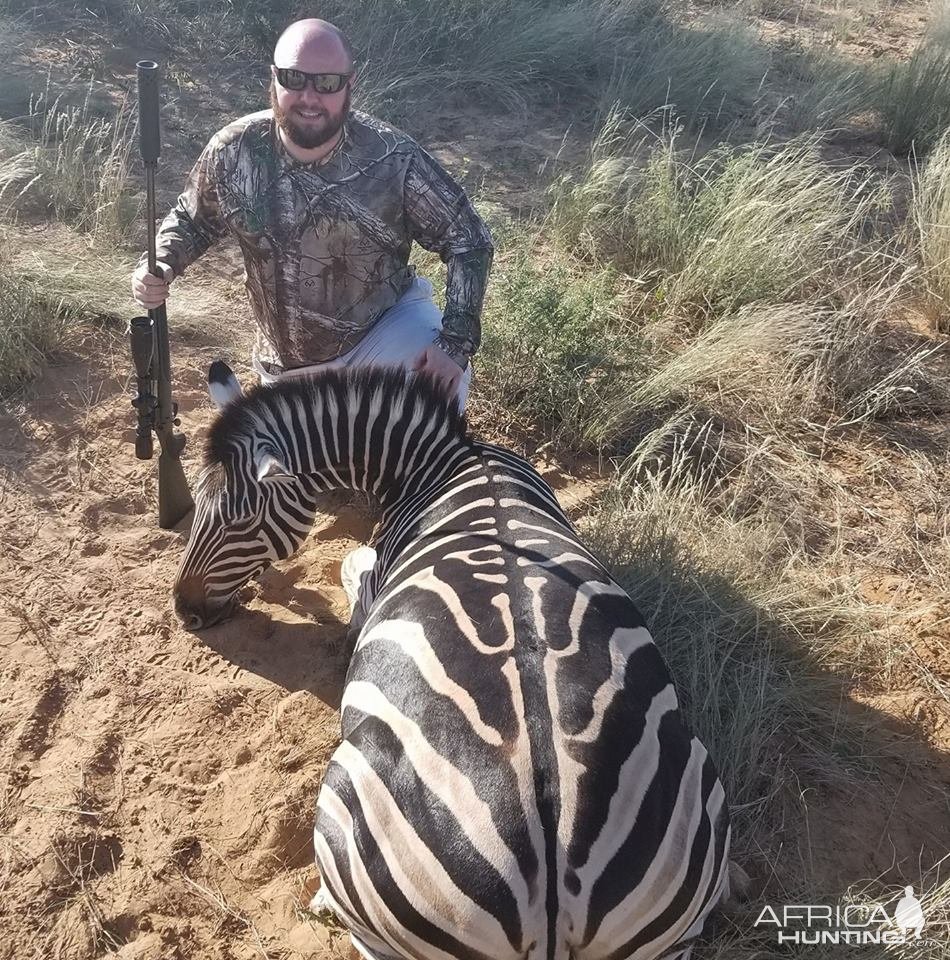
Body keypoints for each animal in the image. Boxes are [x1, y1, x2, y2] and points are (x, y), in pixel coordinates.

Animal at [175, 362, 732, 960]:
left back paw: (323, 898)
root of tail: (555, 874)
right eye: (195, 508)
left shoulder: (373, 575)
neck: (446, 460)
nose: (183, 611)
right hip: (690, 846)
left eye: (242, 523)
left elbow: (352, 566)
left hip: (351, 813)